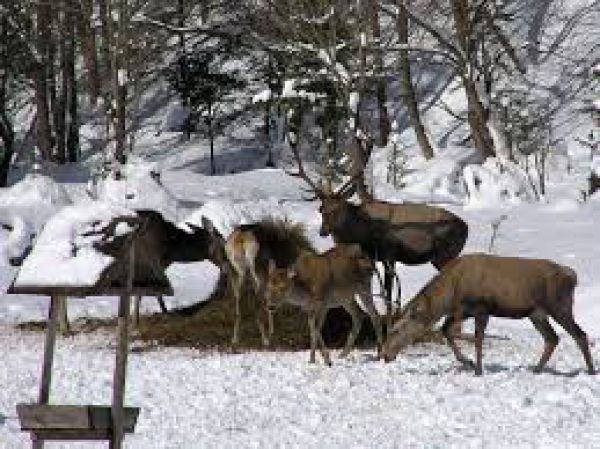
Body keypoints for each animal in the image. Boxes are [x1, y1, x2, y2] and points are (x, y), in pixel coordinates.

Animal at [382, 252, 592, 374]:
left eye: (396, 330)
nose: (385, 355)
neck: (450, 295)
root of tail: (572, 276)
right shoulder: (462, 311)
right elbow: (446, 330)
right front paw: (468, 363)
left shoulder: (482, 308)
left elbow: (477, 339)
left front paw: (478, 369)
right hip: (536, 313)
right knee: (552, 338)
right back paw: (536, 369)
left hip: (559, 306)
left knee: (579, 334)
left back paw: (591, 370)